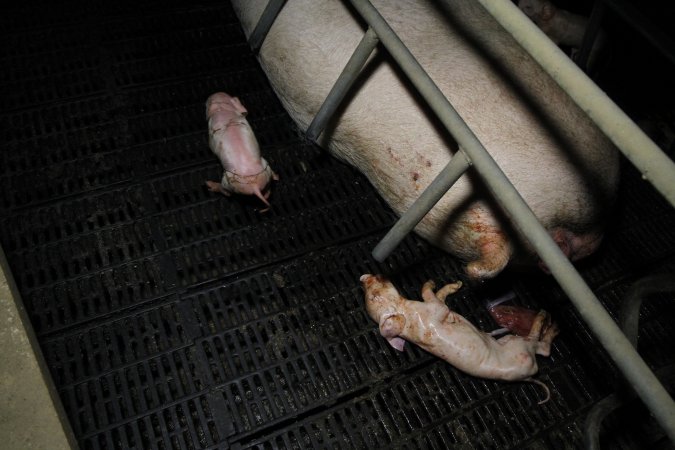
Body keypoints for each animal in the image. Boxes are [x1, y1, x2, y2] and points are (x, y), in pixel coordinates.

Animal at [364, 274, 560, 386]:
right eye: (374, 296)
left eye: (368, 294)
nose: (364, 277)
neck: (406, 312)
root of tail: (529, 376)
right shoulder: (435, 311)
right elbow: (428, 294)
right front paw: (432, 283)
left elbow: (440, 296)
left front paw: (456, 285)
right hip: (522, 348)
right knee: (541, 347)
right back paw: (548, 319)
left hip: (508, 340)